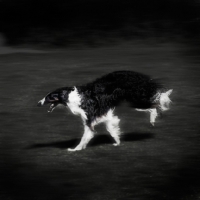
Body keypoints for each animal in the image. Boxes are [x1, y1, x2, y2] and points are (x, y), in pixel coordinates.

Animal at [38, 71, 173, 151]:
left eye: (49, 97)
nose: (38, 103)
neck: (73, 97)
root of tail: (141, 76)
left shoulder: (90, 120)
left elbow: (85, 136)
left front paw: (75, 149)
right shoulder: (106, 116)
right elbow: (111, 130)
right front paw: (117, 142)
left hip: (136, 100)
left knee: (156, 104)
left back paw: (153, 119)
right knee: (154, 104)